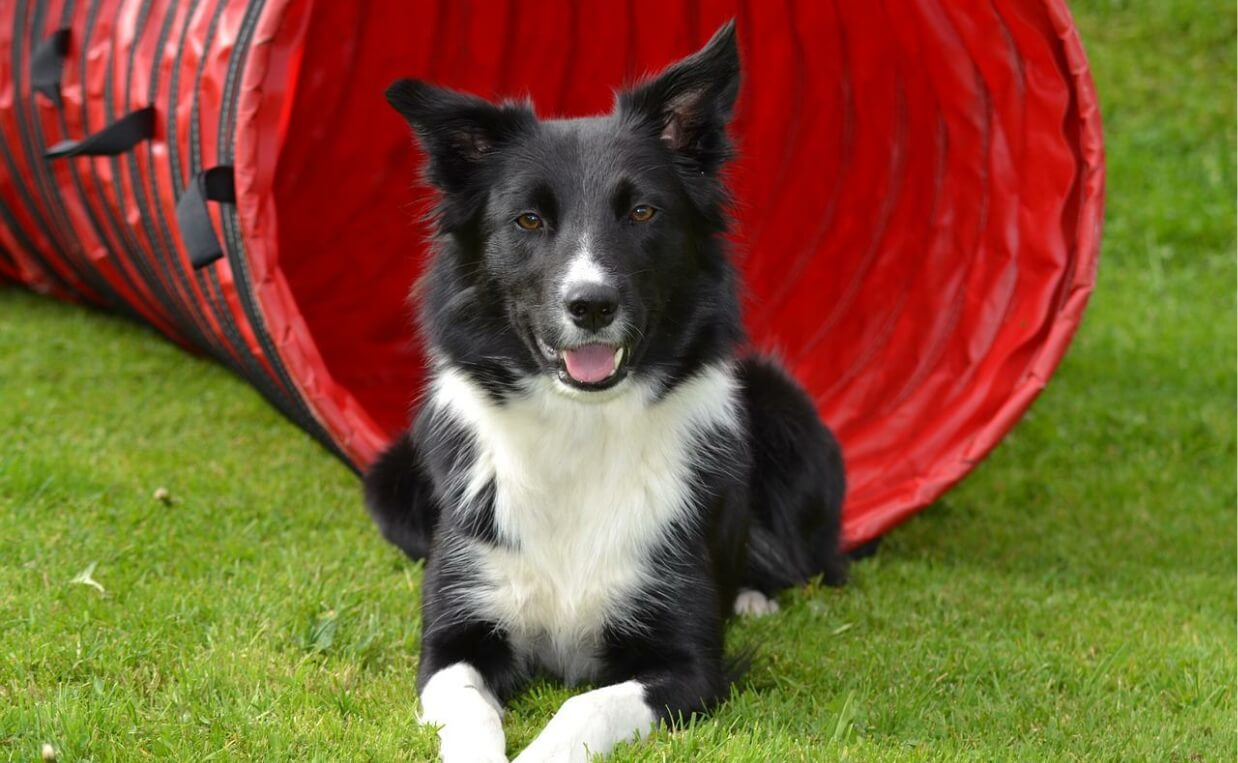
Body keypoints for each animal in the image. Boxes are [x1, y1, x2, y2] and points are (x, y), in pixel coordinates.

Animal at [363, 20, 851, 758]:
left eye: (643, 212)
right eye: (528, 221)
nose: (590, 304)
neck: (580, 425)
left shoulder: (685, 661)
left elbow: (584, 708)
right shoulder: (453, 640)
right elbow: (471, 707)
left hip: (789, 419)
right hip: (390, 482)